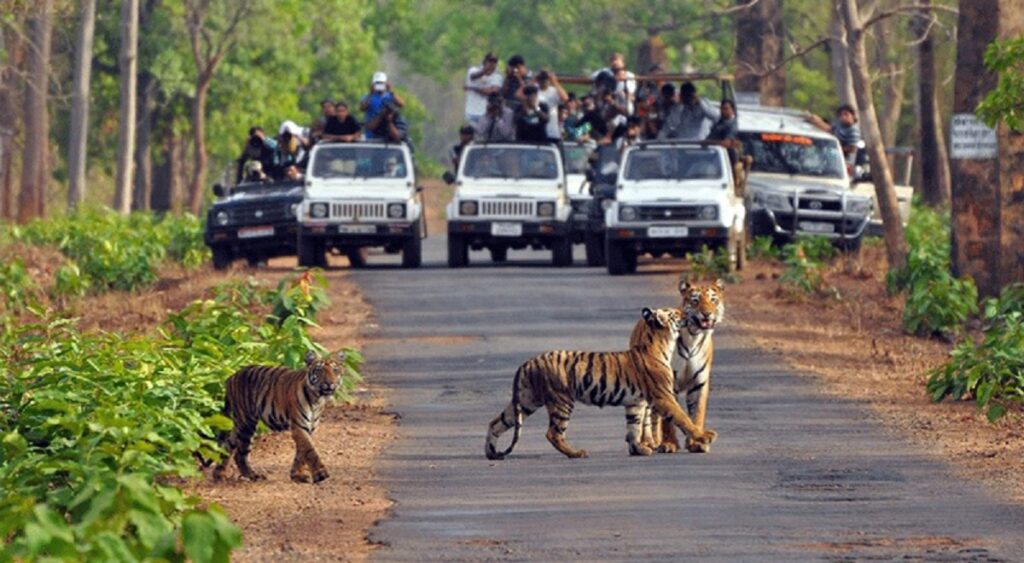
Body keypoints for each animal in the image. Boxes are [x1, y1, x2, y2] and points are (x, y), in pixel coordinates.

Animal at [212, 350, 348, 483]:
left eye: (335, 370)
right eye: (319, 370)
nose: (329, 383)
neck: (317, 399)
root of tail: (231, 377)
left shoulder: (309, 428)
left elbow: (301, 452)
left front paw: (297, 475)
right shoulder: (299, 426)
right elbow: (310, 450)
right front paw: (320, 474)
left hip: (240, 424)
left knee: (228, 446)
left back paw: (220, 475)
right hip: (246, 423)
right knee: (240, 453)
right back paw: (251, 475)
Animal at [483, 309, 716, 462]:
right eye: (676, 313)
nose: (687, 313)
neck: (661, 344)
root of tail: (528, 362)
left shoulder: (636, 403)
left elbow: (634, 427)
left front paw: (638, 449)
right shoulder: (663, 396)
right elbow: (683, 418)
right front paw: (703, 436)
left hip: (526, 400)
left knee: (496, 422)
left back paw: (491, 452)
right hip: (561, 401)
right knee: (553, 434)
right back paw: (576, 453)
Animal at [626, 278, 724, 454]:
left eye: (713, 300)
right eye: (695, 300)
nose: (707, 313)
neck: (694, 336)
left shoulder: (699, 383)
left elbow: (696, 413)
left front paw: (696, 443)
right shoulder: (667, 383)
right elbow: (669, 419)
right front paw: (669, 444)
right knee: (646, 415)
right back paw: (648, 442)